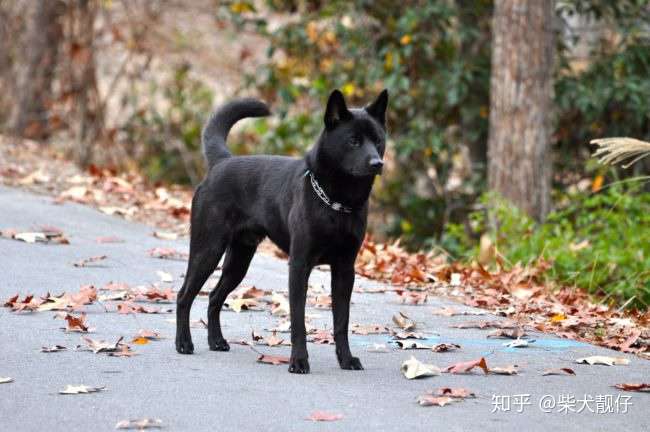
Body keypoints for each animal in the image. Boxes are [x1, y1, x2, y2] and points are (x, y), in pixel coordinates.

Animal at [175, 89, 388, 372]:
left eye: (378, 140)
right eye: (353, 141)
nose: (377, 163)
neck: (335, 204)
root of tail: (222, 162)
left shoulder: (345, 270)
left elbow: (341, 321)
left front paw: (346, 359)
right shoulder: (299, 266)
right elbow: (298, 321)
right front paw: (298, 361)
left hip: (239, 260)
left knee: (214, 297)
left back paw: (216, 341)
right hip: (207, 250)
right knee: (184, 295)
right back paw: (183, 343)